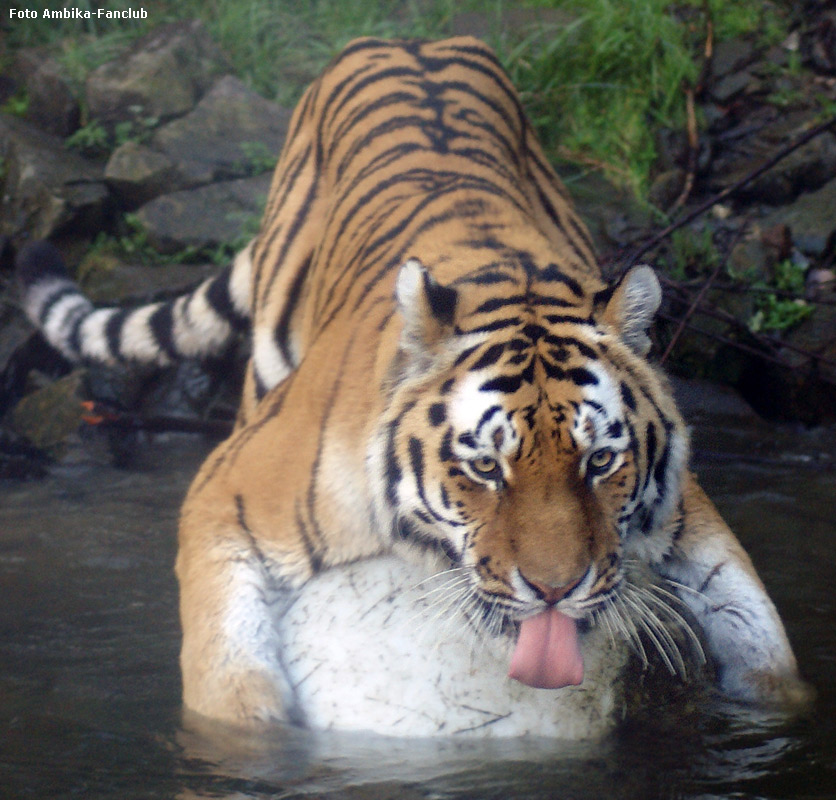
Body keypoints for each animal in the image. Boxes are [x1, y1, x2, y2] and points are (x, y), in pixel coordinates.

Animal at [18, 34, 808, 728]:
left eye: (602, 461)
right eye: (485, 468)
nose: (556, 591)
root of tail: (406, 41)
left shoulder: (685, 510)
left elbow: (758, 626)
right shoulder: (225, 493)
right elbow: (228, 675)